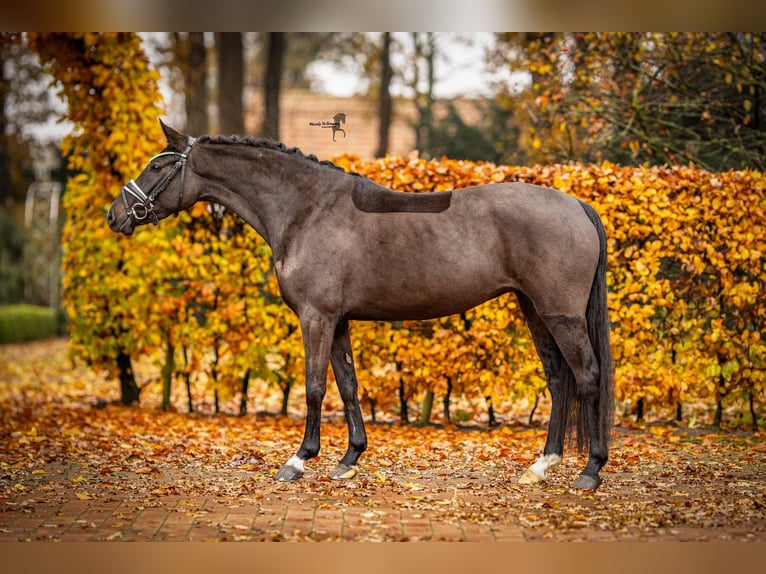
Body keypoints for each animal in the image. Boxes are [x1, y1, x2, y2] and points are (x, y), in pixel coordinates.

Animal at [106, 120, 616, 490]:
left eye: (158, 166)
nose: (115, 215)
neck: (306, 210)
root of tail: (576, 204)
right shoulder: (339, 321)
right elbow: (348, 385)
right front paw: (349, 458)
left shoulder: (316, 317)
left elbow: (315, 386)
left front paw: (298, 460)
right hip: (535, 310)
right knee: (558, 379)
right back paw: (542, 464)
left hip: (561, 315)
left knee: (588, 377)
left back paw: (589, 471)